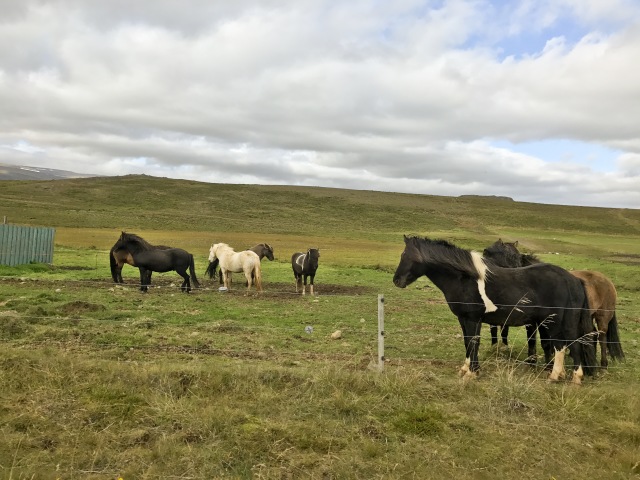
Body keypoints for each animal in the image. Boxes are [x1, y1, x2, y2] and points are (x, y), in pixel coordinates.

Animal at [393, 236, 597, 384]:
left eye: (405, 256)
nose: (396, 281)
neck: (465, 279)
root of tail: (573, 279)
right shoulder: (463, 319)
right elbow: (467, 342)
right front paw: (466, 369)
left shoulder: (472, 319)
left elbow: (473, 342)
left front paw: (472, 373)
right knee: (564, 345)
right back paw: (561, 375)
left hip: (556, 321)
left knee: (566, 345)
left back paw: (564, 376)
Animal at [483, 239, 623, 368]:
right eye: (487, 253)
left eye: (514, 257)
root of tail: (608, 281)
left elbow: (539, 340)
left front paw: (540, 362)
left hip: (602, 318)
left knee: (602, 338)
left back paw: (603, 364)